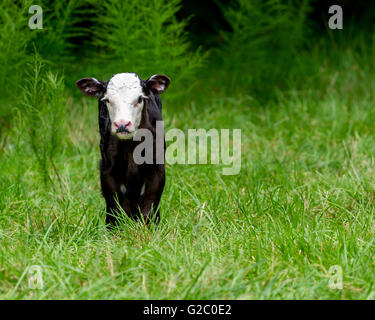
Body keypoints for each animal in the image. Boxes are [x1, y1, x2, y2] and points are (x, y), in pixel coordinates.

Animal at [76, 72, 170, 225]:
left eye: (139, 98)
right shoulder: (108, 170)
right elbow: (114, 207)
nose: (122, 124)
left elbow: (149, 207)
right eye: (107, 100)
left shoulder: (157, 169)